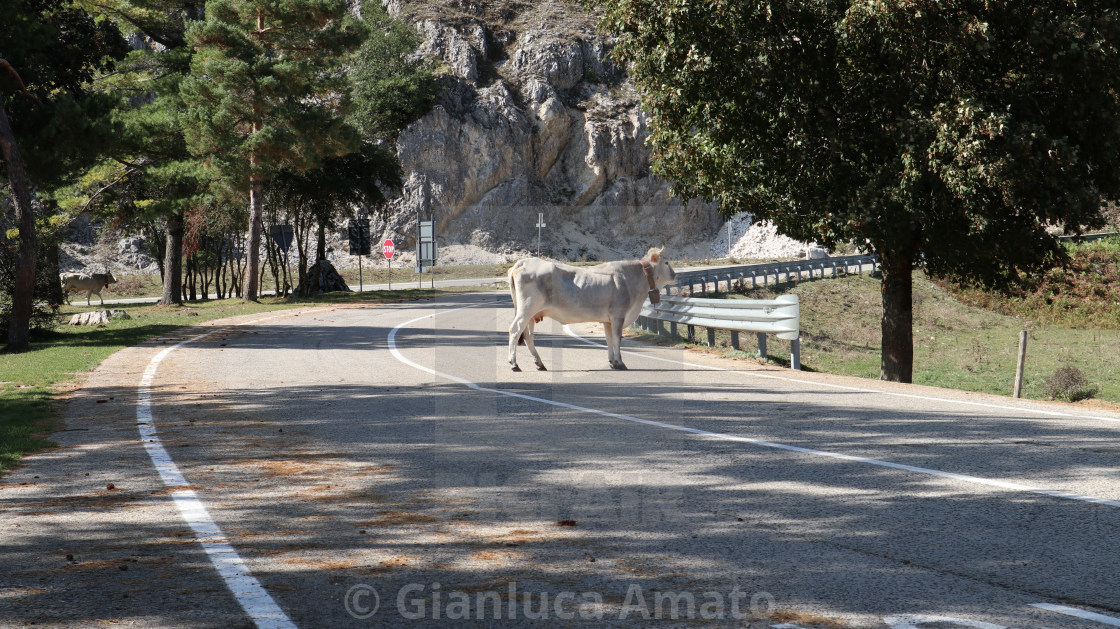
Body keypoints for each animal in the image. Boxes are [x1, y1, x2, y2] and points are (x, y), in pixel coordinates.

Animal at [506, 246, 672, 371]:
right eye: (667, 262)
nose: (675, 275)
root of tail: (523, 262)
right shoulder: (618, 315)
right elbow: (617, 339)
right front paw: (620, 363)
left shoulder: (608, 320)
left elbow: (609, 339)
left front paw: (612, 362)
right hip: (526, 310)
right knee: (515, 330)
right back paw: (514, 364)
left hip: (531, 314)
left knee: (528, 336)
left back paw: (539, 363)